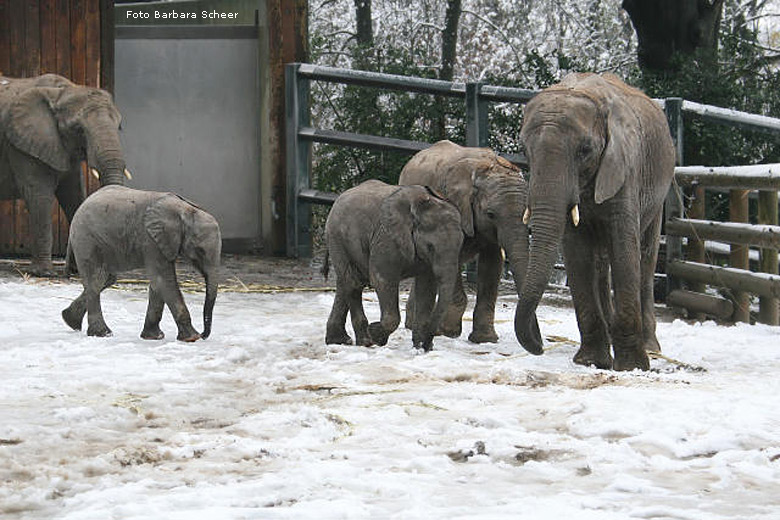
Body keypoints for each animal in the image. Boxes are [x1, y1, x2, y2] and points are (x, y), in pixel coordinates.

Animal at [0, 74, 128, 276]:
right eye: (78, 129)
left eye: (119, 126)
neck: (62, 91)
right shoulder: (20, 146)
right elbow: (40, 197)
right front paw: (44, 273)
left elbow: (74, 196)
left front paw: (79, 271)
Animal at [62, 186, 221, 342]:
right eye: (200, 251)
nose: (204, 335)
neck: (186, 209)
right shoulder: (151, 240)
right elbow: (163, 280)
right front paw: (192, 338)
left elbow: (158, 283)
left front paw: (154, 337)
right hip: (86, 239)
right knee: (95, 279)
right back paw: (103, 334)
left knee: (105, 279)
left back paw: (69, 320)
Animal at [322, 180, 464, 354]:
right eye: (430, 247)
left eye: (461, 245)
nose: (427, 346)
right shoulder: (386, 238)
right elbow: (382, 280)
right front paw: (376, 336)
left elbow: (427, 288)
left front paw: (419, 348)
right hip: (337, 237)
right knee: (353, 282)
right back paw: (365, 341)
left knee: (346, 283)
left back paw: (340, 341)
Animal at [402, 141, 536, 346]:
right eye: (490, 214)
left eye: (526, 214)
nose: (540, 346)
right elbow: (454, 260)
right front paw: (448, 332)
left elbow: (492, 265)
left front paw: (485, 340)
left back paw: (412, 325)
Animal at [516, 73, 672, 372]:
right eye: (524, 150)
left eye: (585, 150)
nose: (540, 346)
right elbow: (577, 253)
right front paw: (591, 362)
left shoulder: (626, 168)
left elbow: (624, 247)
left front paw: (632, 366)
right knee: (600, 261)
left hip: (659, 194)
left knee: (646, 258)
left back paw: (650, 346)